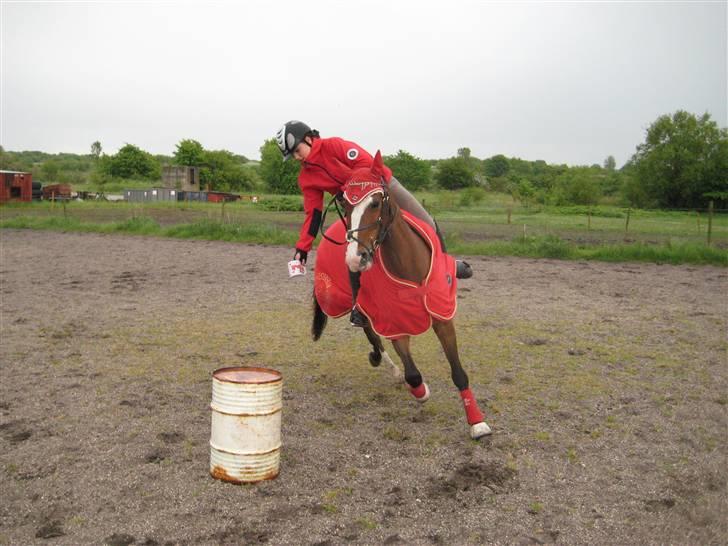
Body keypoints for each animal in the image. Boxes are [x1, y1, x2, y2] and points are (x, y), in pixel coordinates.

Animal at [310, 151, 492, 440]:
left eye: (375, 203)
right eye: (346, 206)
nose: (355, 257)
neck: (409, 265)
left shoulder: (442, 317)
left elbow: (458, 372)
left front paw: (477, 423)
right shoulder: (394, 324)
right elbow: (413, 374)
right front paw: (420, 391)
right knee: (370, 332)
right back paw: (388, 365)